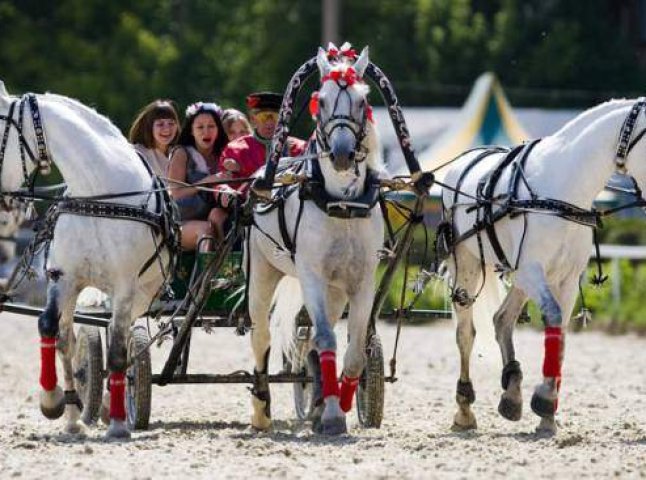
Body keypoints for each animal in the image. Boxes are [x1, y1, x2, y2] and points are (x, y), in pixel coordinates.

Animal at [0, 80, 175, 436]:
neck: (100, 195)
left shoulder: (124, 286)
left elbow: (120, 353)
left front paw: (119, 424)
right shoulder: (63, 277)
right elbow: (51, 330)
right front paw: (55, 403)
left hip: (141, 295)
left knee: (126, 343)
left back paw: (114, 405)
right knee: (71, 336)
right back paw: (77, 414)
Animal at [247, 46, 384, 436]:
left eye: (362, 100)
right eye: (321, 100)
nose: (341, 154)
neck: (342, 204)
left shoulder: (363, 281)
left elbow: (354, 351)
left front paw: (339, 403)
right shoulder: (310, 275)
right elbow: (325, 338)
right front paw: (334, 415)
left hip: (335, 291)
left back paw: (320, 399)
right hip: (262, 272)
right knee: (261, 336)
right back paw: (261, 411)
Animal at [440, 97, 646, 436]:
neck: (562, 191)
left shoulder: (565, 278)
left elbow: (559, 333)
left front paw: (547, 412)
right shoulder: (532, 270)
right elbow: (552, 317)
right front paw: (546, 400)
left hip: (521, 276)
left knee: (502, 319)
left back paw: (512, 392)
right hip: (469, 265)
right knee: (465, 334)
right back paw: (464, 409)